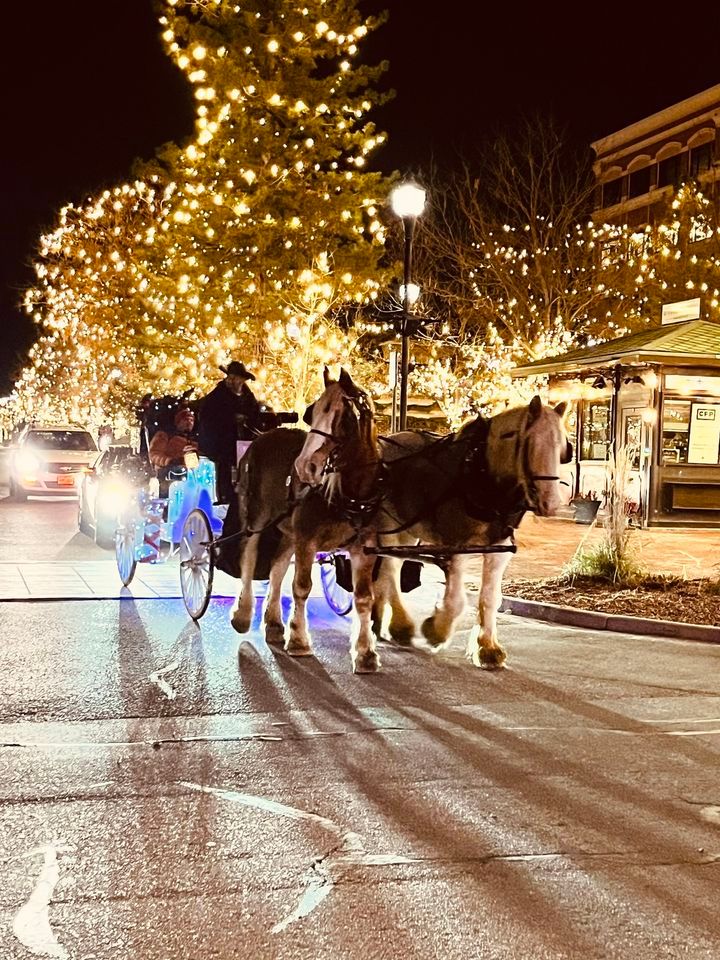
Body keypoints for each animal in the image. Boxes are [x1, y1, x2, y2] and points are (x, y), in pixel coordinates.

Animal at [233, 368, 386, 676]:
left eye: (345, 417)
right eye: (311, 413)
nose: (305, 468)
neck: (350, 493)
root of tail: (262, 435)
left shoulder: (364, 548)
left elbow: (364, 597)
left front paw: (365, 653)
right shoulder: (307, 539)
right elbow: (301, 586)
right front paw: (299, 640)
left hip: (288, 531)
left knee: (277, 566)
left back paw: (274, 623)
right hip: (255, 515)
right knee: (249, 556)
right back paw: (243, 614)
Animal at [296, 390, 572, 668]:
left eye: (563, 449)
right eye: (533, 444)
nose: (551, 503)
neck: (481, 473)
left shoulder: (499, 547)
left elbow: (491, 598)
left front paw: (488, 648)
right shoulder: (457, 544)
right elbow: (457, 598)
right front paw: (437, 630)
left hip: (405, 530)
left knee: (390, 567)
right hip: (388, 527)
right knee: (389, 570)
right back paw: (399, 624)